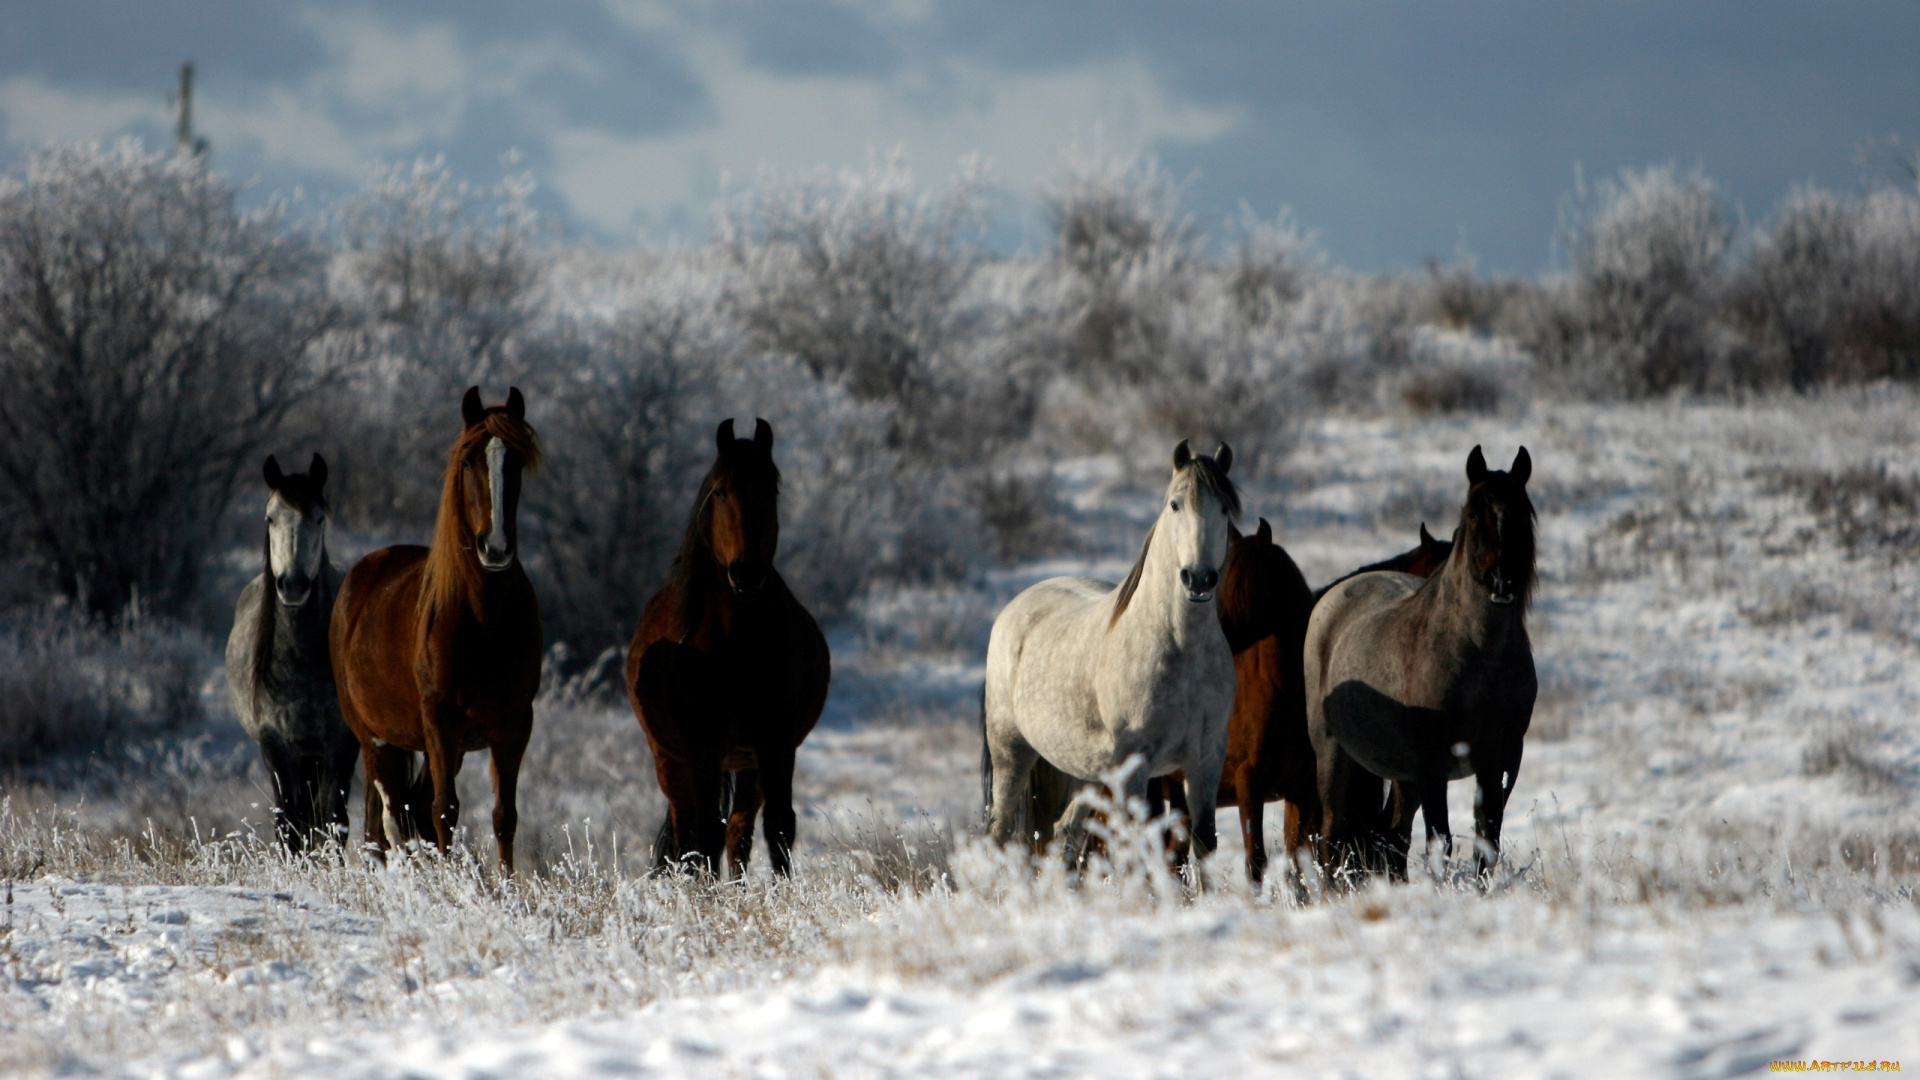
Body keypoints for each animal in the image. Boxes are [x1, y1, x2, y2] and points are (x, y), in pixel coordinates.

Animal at [225, 451, 360, 849]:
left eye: (319, 517)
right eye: (270, 517)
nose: (293, 585)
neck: (303, 662)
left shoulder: (341, 743)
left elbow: (333, 822)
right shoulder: (277, 746)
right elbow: (290, 827)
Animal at [330, 386, 541, 864]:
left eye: (517, 461)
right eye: (468, 461)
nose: (495, 548)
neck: (483, 619)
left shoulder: (513, 724)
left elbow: (504, 816)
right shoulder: (441, 722)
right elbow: (444, 811)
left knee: (408, 817)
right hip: (376, 740)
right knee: (391, 822)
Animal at [625, 418, 829, 876]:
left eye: (771, 490)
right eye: (719, 491)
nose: (746, 574)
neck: (735, 647)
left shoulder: (776, 744)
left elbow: (779, 828)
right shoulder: (701, 748)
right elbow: (703, 835)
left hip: (747, 763)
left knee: (738, 831)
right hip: (671, 759)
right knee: (688, 827)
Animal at [983, 438, 1236, 857]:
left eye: (1225, 509)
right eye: (1175, 504)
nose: (1198, 579)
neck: (1182, 650)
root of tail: (1014, 608)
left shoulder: (1207, 759)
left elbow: (1205, 842)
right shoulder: (1134, 766)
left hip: (1086, 769)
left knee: (1064, 832)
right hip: (1011, 753)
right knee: (999, 833)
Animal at [1297, 443, 1536, 876]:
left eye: (1523, 511)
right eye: (1472, 513)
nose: (1502, 582)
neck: (1480, 664)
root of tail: (1331, 599)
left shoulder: (1502, 761)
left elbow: (1486, 844)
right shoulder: (1432, 764)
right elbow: (1440, 843)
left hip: (1403, 777)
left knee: (1391, 838)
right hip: (1334, 756)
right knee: (1331, 836)